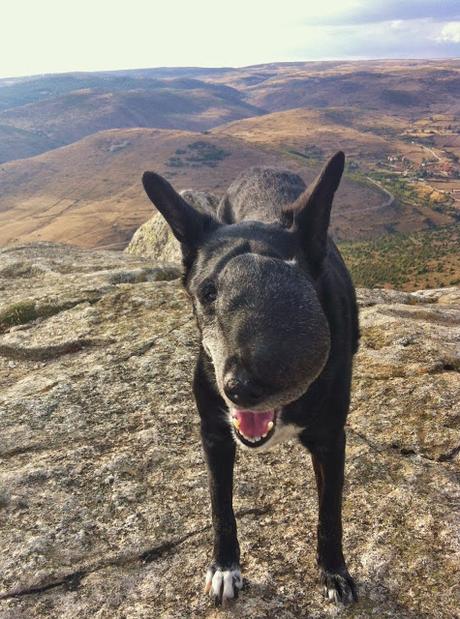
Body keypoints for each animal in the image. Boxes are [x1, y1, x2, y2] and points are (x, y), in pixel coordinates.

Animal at [141, 153, 360, 608]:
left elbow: (330, 512)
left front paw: (334, 572)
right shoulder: (214, 434)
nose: (242, 388)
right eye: (208, 292)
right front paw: (225, 568)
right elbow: (220, 507)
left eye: (289, 296)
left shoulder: (332, 440)